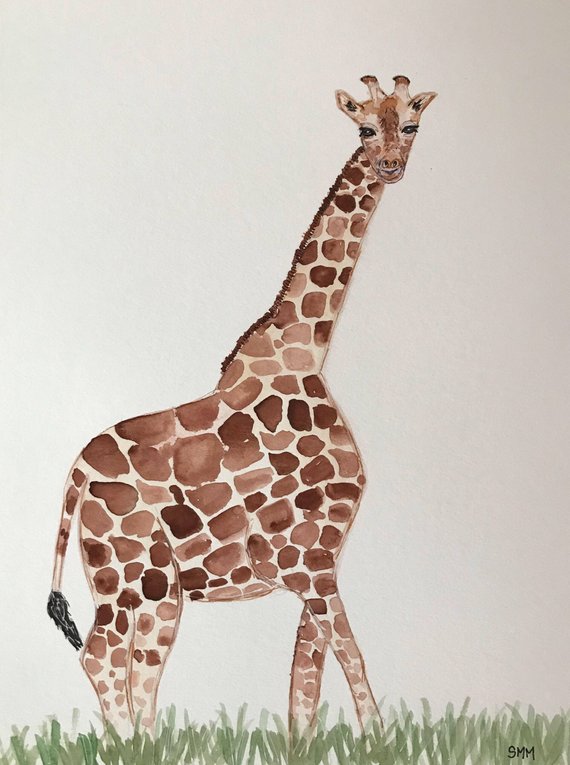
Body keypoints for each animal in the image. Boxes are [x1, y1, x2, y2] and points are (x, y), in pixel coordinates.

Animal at [48, 74, 436, 736]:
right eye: (364, 127)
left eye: (410, 124)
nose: (390, 165)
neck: (305, 350)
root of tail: (73, 478)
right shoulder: (311, 558)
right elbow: (351, 659)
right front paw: (383, 741)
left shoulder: (319, 557)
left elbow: (305, 681)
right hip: (141, 575)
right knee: (105, 656)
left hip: (137, 583)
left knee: (130, 664)